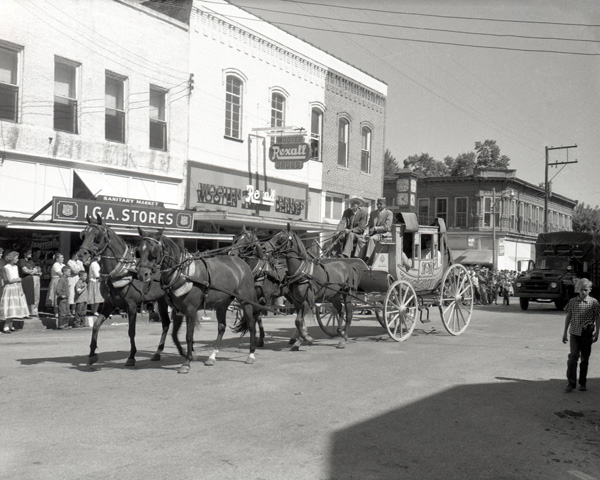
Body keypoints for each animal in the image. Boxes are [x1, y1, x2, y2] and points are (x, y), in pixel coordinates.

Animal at [77, 214, 173, 368]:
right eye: (84, 235)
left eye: (97, 236)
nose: (81, 254)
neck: (121, 270)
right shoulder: (109, 304)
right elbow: (96, 326)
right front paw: (92, 354)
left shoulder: (131, 305)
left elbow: (131, 331)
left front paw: (132, 357)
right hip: (162, 300)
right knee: (166, 323)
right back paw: (158, 353)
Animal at [136, 227, 258, 374]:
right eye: (139, 251)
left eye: (153, 251)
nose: (142, 275)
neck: (182, 273)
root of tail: (241, 263)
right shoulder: (177, 310)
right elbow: (174, 334)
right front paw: (187, 354)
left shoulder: (191, 311)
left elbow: (189, 336)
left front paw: (187, 362)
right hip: (222, 304)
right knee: (221, 327)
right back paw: (212, 356)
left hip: (246, 301)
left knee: (251, 324)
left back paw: (251, 354)